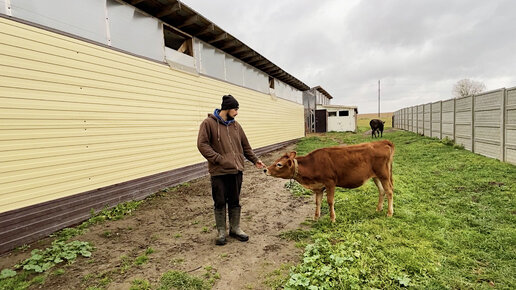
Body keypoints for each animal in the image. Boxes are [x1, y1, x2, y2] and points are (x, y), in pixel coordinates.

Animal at [266, 140, 396, 222]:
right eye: (275, 161)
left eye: (279, 164)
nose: (265, 169)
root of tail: (382, 142)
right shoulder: (318, 187)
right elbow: (318, 202)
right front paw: (316, 217)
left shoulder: (330, 183)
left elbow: (330, 201)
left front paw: (332, 218)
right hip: (376, 176)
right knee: (382, 191)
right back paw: (378, 209)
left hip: (384, 174)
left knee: (389, 191)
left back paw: (389, 213)